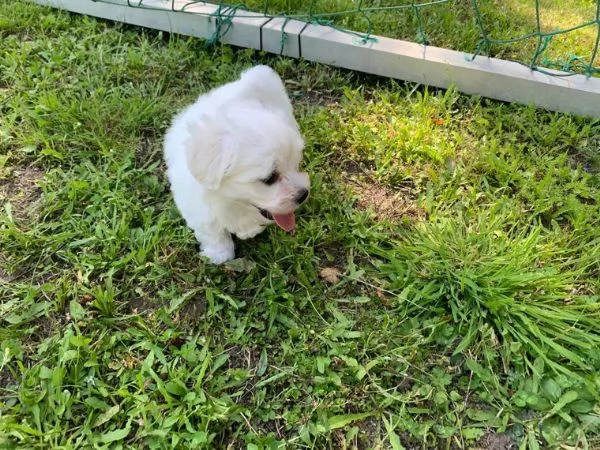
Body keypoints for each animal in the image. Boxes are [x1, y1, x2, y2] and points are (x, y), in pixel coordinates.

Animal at [163, 66, 310, 264]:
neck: (232, 201)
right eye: (269, 178)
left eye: (296, 164)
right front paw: (219, 253)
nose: (304, 194)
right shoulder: (198, 208)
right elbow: (211, 232)